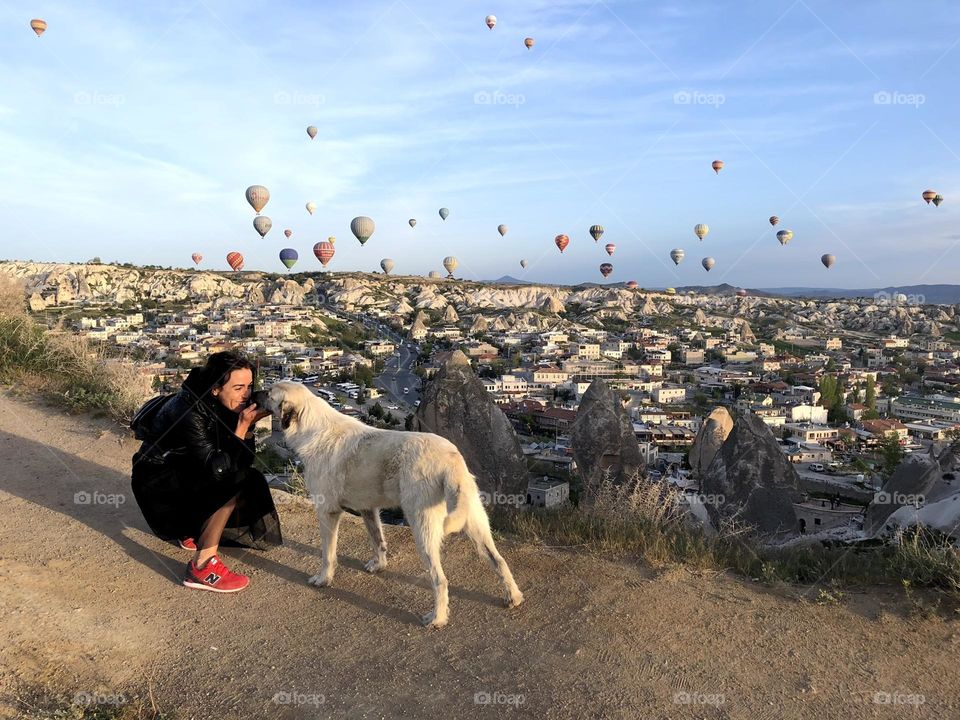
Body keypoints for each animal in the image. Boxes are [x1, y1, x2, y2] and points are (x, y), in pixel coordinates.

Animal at [258, 382, 520, 632]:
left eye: (269, 393)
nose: (254, 392)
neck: (312, 426)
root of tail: (451, 458)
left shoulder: (327, 512)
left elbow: (327, 555)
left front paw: (324, 579)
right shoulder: (368, 509)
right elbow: (378, 541)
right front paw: (379, 565)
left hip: (422, 527)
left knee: (440, 579)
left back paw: (437, 618)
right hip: (475, 522)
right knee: (498, 560)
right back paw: (513, 596)